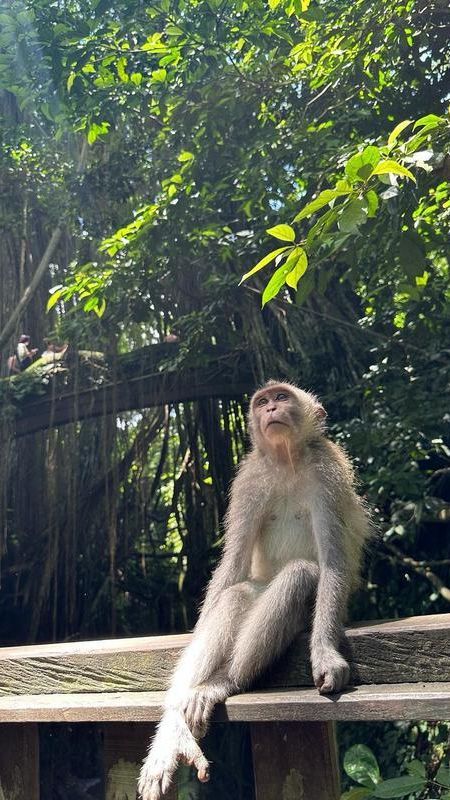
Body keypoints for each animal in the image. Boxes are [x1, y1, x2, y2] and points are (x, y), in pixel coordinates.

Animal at [139, 382, 370, 800]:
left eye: (282, 397)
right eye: (263, 402)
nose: (271, 409)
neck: (285, 460)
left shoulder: (326, 472)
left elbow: (332, 562)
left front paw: (325, 654)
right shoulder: (249, 480)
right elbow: (232, 566)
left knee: (300, 576)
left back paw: (223, 683)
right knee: (236, 595)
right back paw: (177, 719)